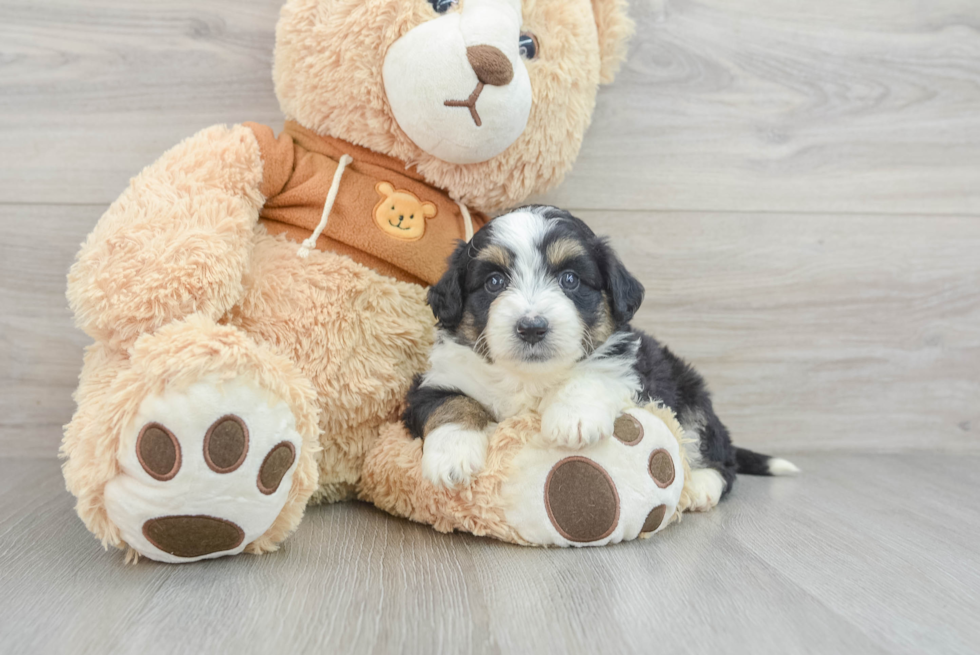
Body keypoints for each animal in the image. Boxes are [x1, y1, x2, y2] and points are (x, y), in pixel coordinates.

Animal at [404, 208, 796, 510]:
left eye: (570, 279)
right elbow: (451, 403)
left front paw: (572, 419)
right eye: (494, 282)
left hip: (692, 399)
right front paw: (451, 455)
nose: (532, 328)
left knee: (721, 460)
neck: (530, 377)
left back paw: (701, 486)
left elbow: (592, 374)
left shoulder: (627, 367)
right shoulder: (436, 380)